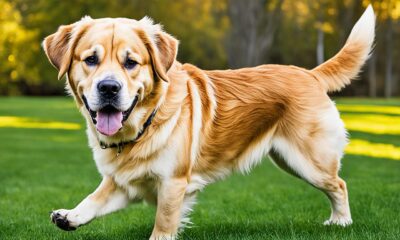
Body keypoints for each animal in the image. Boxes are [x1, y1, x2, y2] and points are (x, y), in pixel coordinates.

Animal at [43, 4, 376, 239]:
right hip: (287, 158)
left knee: (339, 184)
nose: (109, 88)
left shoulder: (173, 183)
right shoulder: (126, 181)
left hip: (308, 161)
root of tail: (309, 73)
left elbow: (163, 224)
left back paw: (341, 222)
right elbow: (93, 199)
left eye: (131, 62)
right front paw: (70, 215)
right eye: (91, 60)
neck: (145, 124)